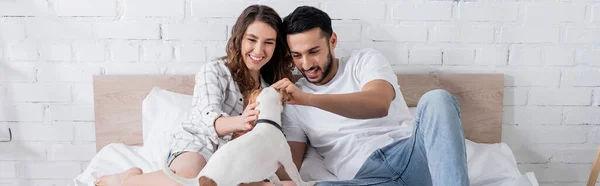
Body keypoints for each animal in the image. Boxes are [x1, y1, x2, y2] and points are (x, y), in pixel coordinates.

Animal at [162, 87, 316, 186]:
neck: (266, 122)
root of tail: (201, 177)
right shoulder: (288, 163)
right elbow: (297, 179)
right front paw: (308, 183)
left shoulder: (268, 171)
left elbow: (276, 178)